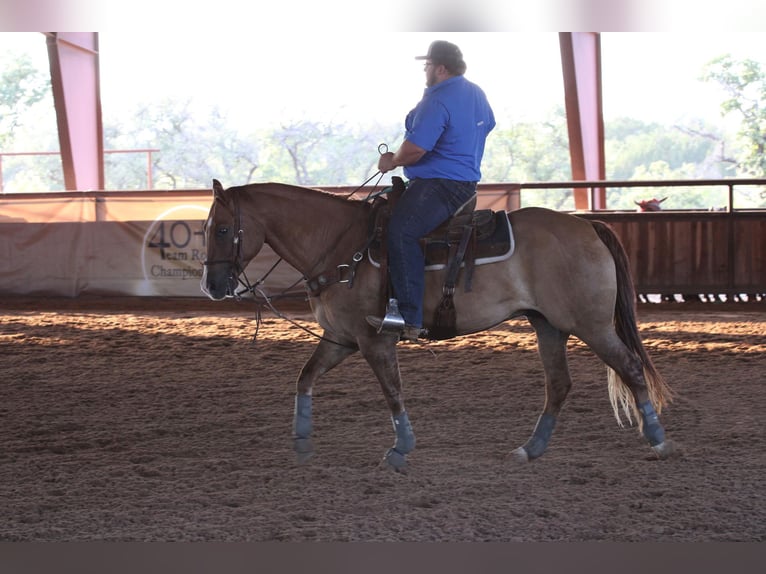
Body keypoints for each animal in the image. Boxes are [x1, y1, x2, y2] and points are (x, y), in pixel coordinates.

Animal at [201, 180, 676, 472]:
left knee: (630, 368)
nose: (211, 286)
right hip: (549, 326)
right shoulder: (340, 340)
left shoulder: (374, 341)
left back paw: (658, 440)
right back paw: (530, 449)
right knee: (559, 384)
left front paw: (400, 449)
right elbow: (304, 378)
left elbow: (393, 392)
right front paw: (301, 441)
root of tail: (588, 225)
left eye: (222, 229)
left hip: (591, 325)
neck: (339, 245)